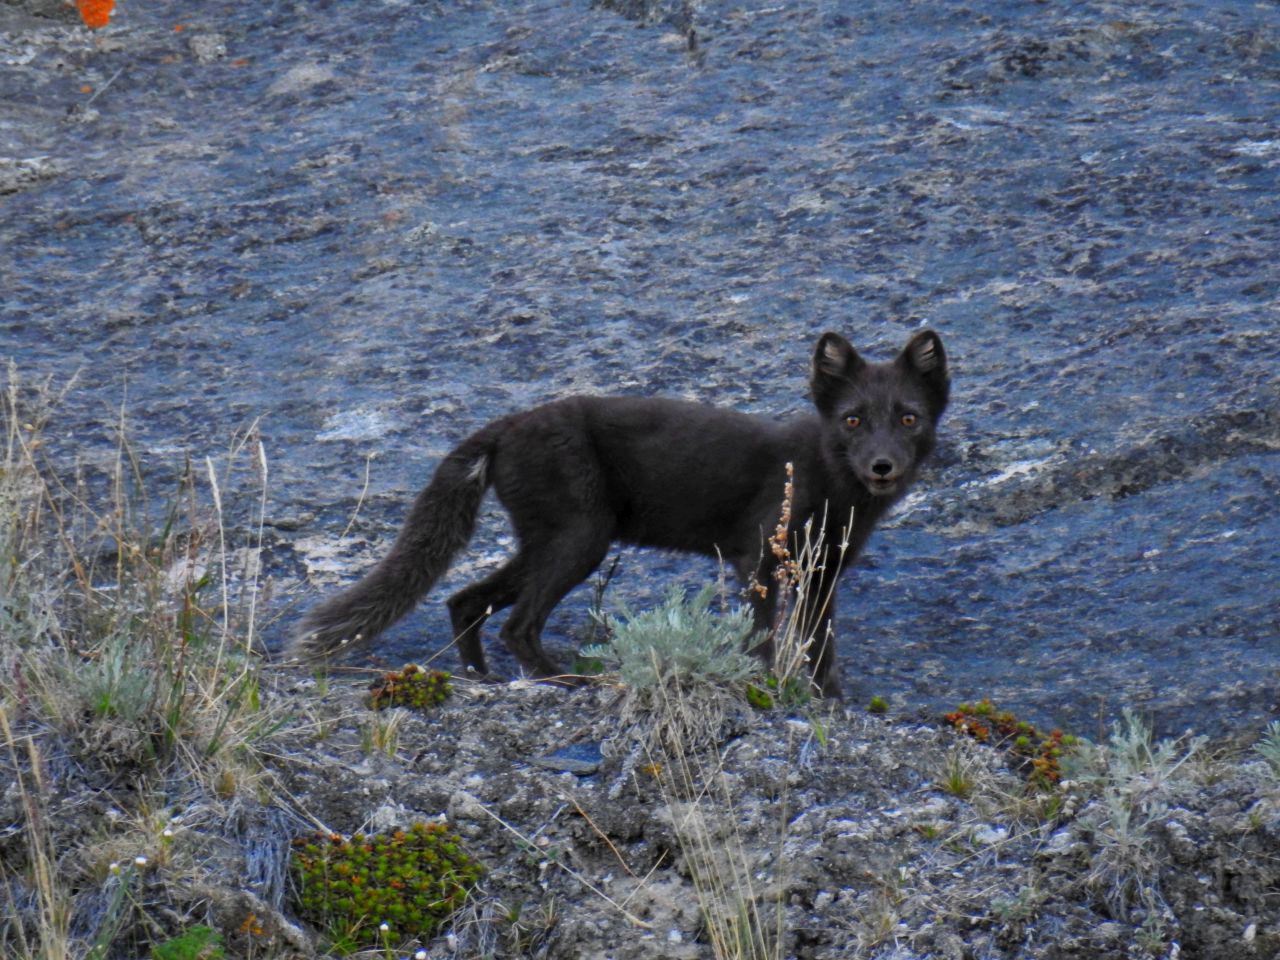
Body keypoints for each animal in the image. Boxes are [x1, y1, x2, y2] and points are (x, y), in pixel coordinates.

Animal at [293, 330, 952, 701]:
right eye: (852, 420)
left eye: (909, 418)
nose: (883, 466)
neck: (837, 498)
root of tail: (506, 424)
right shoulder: (759, 556)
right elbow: (764, 636)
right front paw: (766, 686)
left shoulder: (826, 570)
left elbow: (820, 645)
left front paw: (828, 701)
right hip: (582, 539)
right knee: (517, 624)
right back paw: (566, 682)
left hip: (548, 541)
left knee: (464, 600)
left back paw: (483, 679)